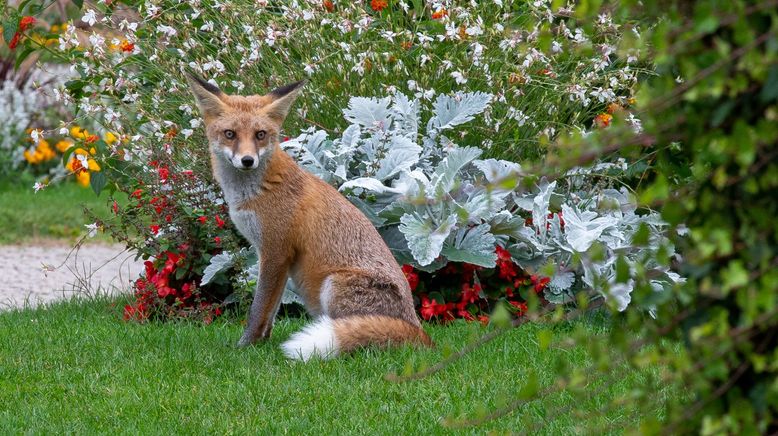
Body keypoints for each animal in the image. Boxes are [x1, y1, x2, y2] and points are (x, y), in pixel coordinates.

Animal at [186, 76, 434, 362]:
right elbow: (271, 310)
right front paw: (263, 342)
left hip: (333, 285)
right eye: (230, 134)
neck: (256, 190)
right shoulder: (275, 258)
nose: (247, 160)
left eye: (260, 135)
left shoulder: (275, 251)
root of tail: (417, 330)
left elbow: (258, 309)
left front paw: (245, 346)